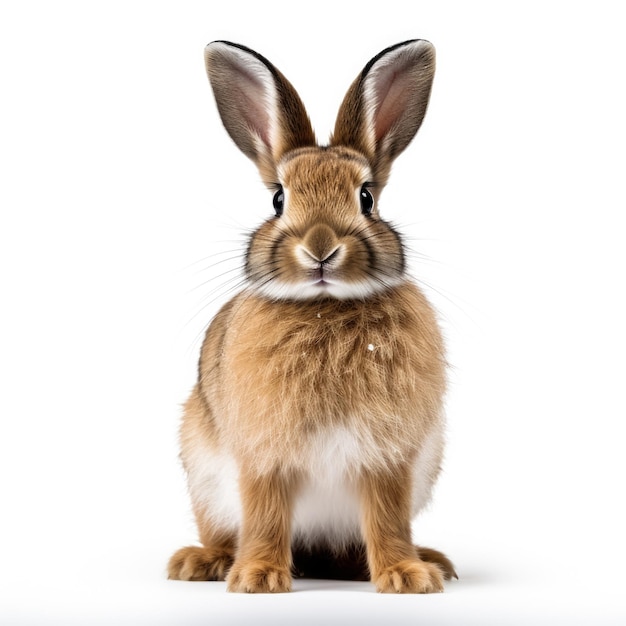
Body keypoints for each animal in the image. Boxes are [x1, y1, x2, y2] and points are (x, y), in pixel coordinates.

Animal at [168, 36, 456, 592]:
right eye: (278, 199)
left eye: (366, 198)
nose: (321, 247)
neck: (325, 309)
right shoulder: (264, 457)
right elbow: (265, 515)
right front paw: (258, 577)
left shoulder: (389, 457)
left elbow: (387, 519)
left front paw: (406, 576)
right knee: (223, 530)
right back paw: (203, 562)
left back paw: (428, 561)